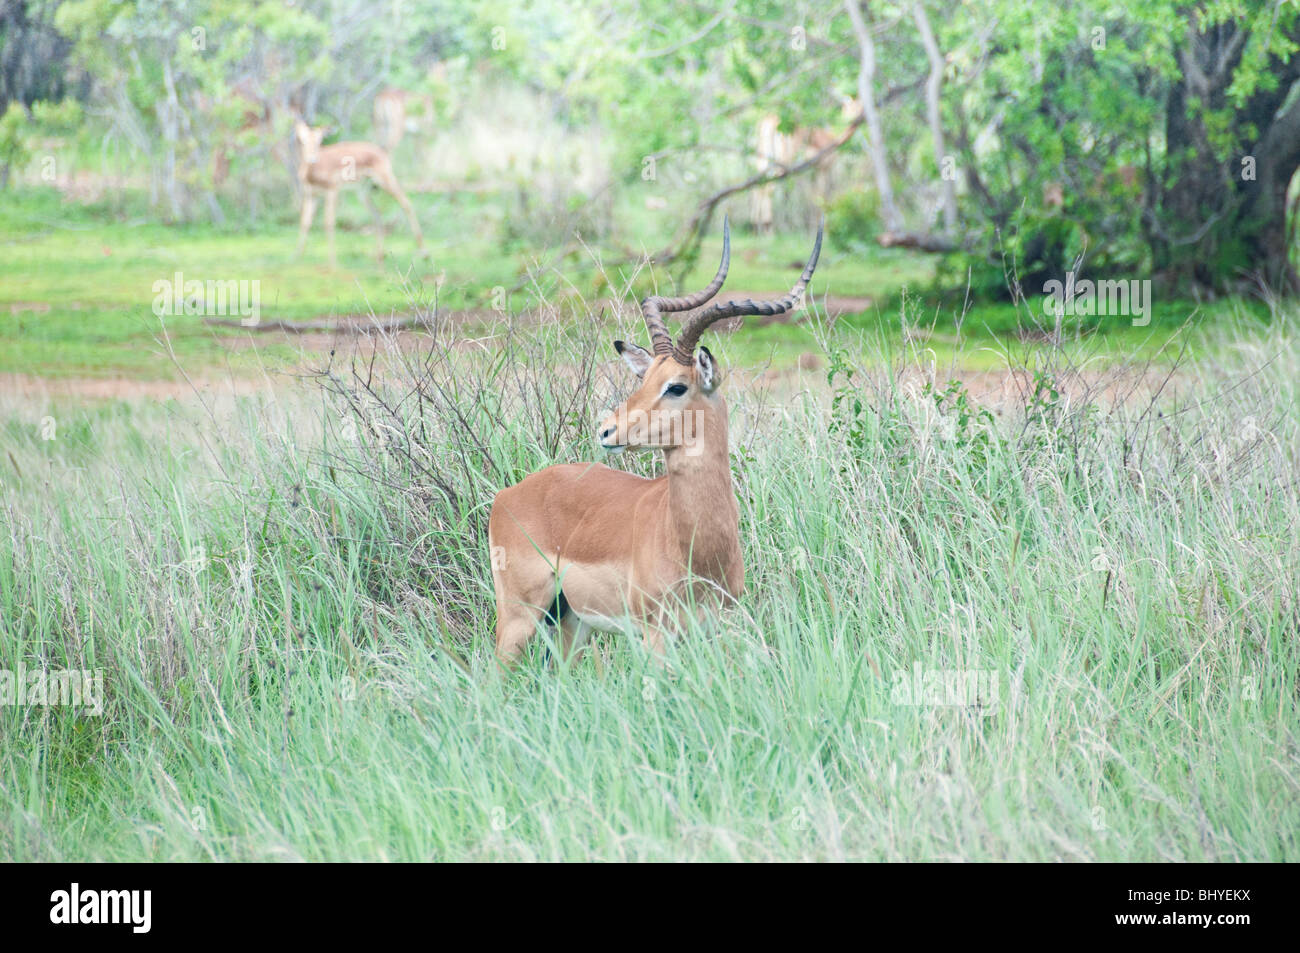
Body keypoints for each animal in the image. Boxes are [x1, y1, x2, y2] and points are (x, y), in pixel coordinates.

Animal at [291, 120, 426, 267]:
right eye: (303, 141)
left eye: (319, 140)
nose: (312, 159)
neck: (312, 173)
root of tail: (381, 151)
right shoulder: (311, 195)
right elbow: (305, 223)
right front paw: (297, 257)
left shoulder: (332, 191)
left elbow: (328, 222)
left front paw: (332, 263)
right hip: (363, 192)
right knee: (377, 214)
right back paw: (379, 258)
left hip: (385, 180)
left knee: (406, 203)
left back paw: (423, 252)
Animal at [488, 217, 821, 665]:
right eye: (644, 379)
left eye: (676, 386)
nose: (607, 430)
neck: (696, 550)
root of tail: (508, 494)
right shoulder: (654, 638)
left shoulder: (716, 630)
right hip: (518, 618)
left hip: (573, 624)